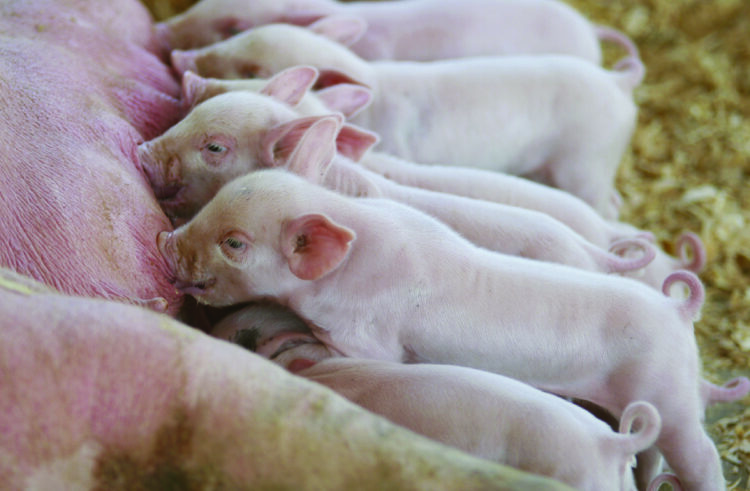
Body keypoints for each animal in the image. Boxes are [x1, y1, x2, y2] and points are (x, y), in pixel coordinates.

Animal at [158, 160, 724, 489]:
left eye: (234, 242)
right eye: (213, 201)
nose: (167, 240)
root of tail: (679, 312)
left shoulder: (370, 338)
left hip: (667, 394)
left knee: (703, 455)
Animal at [169, 20, 644, 218]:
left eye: (252, 69)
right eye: (241, 33)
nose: (180, 58)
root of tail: (619, 84)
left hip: (586, 162)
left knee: (613, 204)